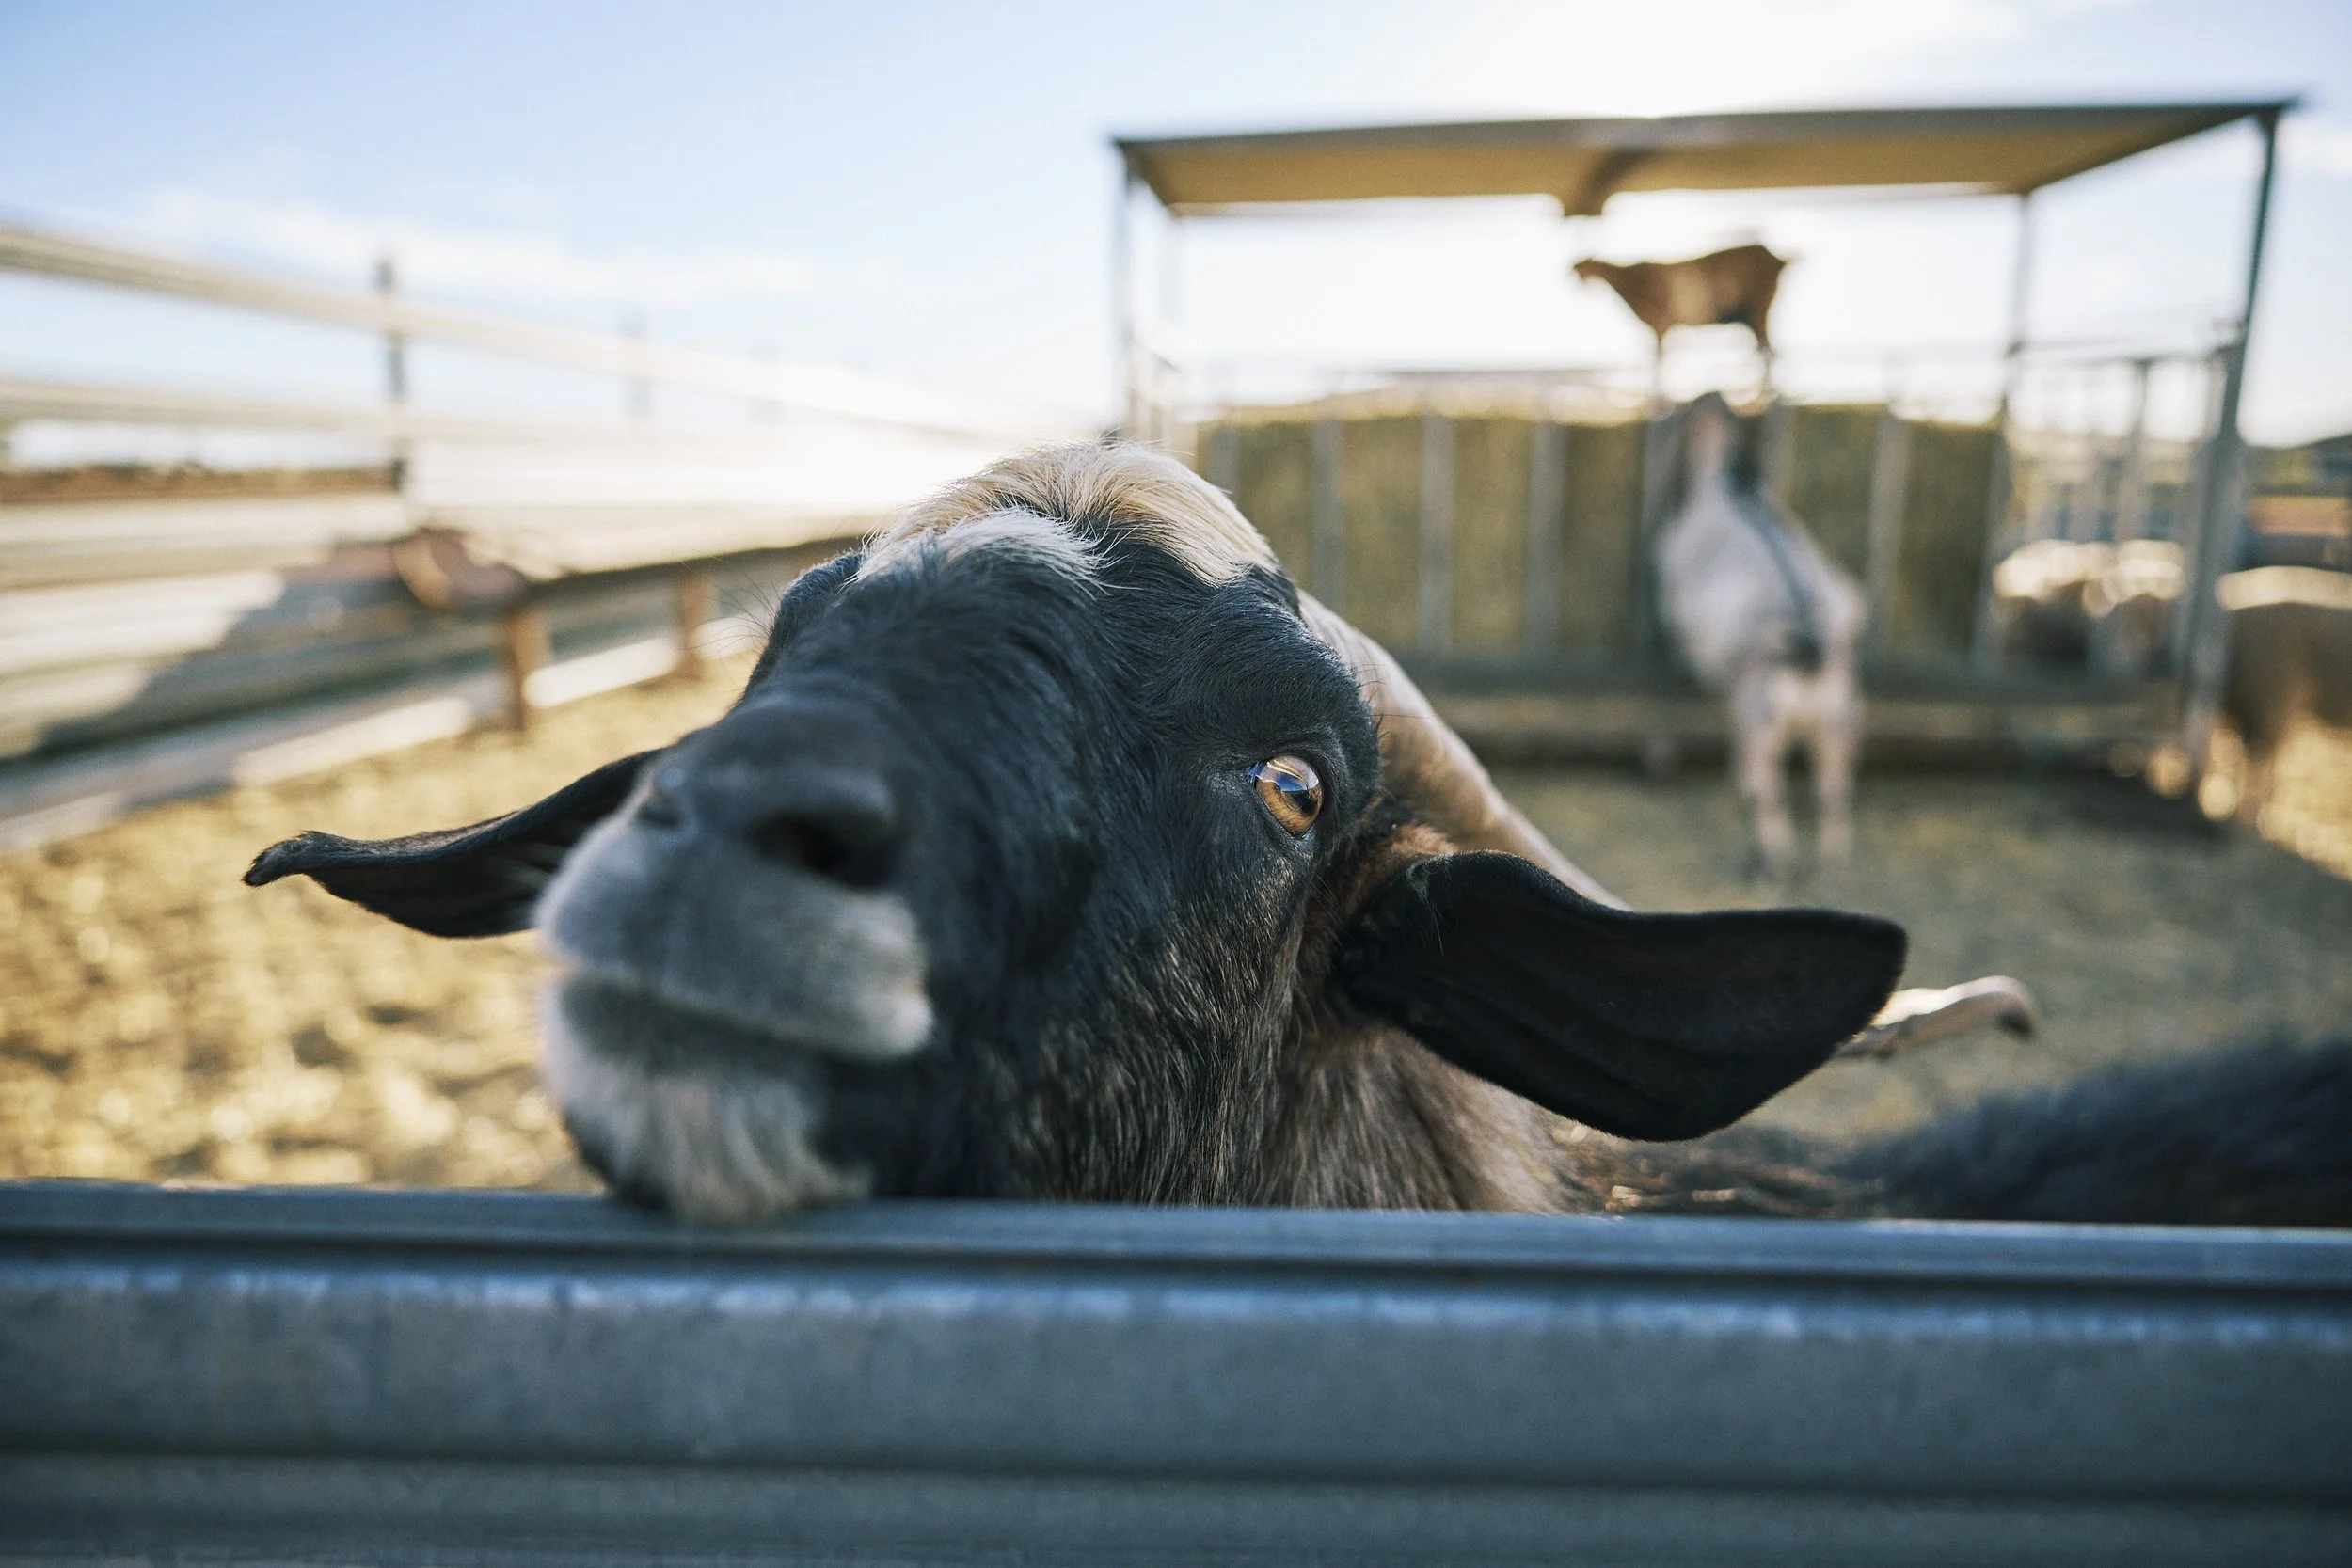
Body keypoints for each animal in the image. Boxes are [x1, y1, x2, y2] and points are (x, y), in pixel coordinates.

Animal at [1655, 394, 1864, 877]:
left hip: (1760, 721)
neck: (1727, 485)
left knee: (1763, 792)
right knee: (1834, 794)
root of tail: (1808, 652)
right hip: (1837, 725)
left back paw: (1769, 863)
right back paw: (1832, 866)